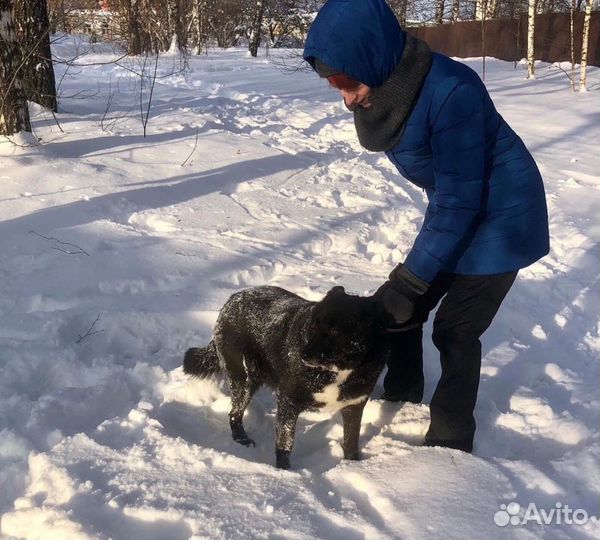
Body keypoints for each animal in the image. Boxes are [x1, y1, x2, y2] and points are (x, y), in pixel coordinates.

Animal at [183, 286, 390, 468]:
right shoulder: (288, 402)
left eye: (334, 331)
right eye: (313, 325)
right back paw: (242, 439)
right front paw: (284, 474)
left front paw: (352, 465)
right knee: (234, 413)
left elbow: (351, 442)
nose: (302, 355)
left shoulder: (354, 406)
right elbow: (285, 444)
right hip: (244, 380)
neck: (336, 370)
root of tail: (231, 300)